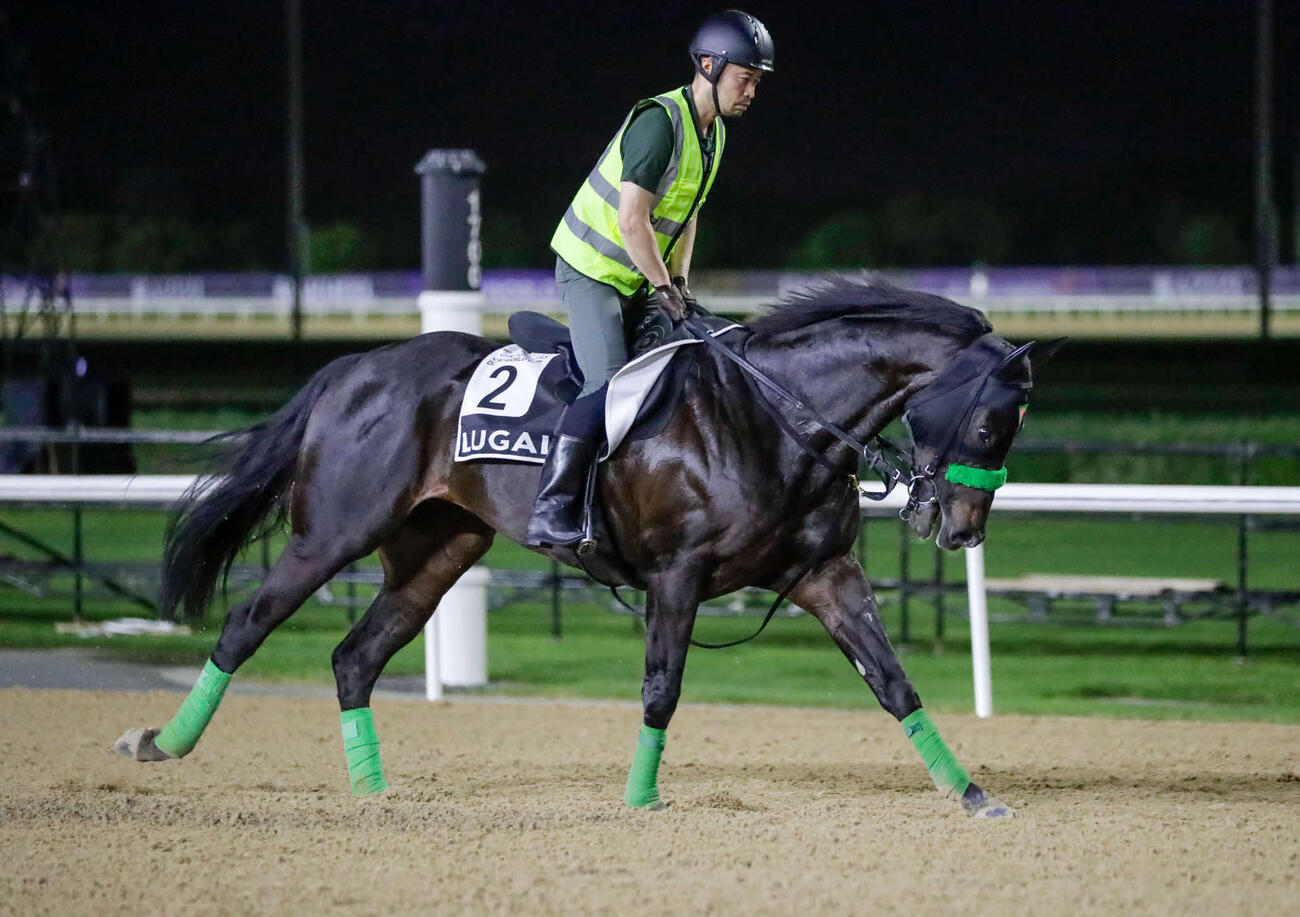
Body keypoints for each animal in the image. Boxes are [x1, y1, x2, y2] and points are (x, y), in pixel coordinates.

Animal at [116, 275, 1054, 818]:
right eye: (989, 421)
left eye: (1012, 426)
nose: (959, 525)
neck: (777, 414)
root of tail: (353, 369)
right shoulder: (677, 574)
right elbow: (661, 689)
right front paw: (641, 801)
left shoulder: (824, 573)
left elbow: (893, 682)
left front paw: (971, 794)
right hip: (331, 532)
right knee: (247, 623)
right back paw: (161, 742)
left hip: (437, 553)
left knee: (355, 657)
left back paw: (373, 790)